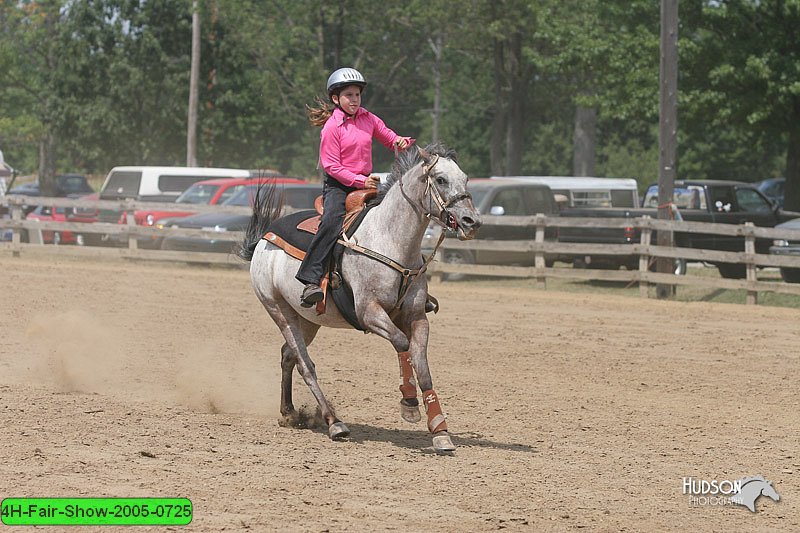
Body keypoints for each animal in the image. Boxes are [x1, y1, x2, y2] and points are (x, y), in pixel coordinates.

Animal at [238, 143, 482, 450]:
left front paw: (440, 431)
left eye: (465, 178)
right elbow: (402, 344)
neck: (389, 240)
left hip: (307, 319)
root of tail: (264, 239)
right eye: (440, 179)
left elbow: (422, 364)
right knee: (305, 365)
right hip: (279, 310)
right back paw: (334, 422)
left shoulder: (416, 316)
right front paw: (409, 404)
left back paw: (290, 413)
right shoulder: (370, 313)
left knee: (288, 356)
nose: (471, 221)